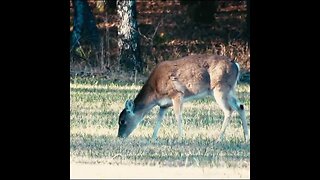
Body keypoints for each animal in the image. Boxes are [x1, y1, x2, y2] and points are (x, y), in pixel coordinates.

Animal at [117, 54, 250, 143]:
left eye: (122, 121)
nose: (119, 136)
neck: (155, 92)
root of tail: (236, 65)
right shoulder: (163, 105)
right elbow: (158, 120)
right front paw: (153, 138)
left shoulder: (177, 94)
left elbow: (178, 116)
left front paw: (180, 138)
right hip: (230, 90)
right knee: (240, 106)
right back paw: (246, 138)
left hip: (220, 88)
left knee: (229, 110)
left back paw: (218, 139)